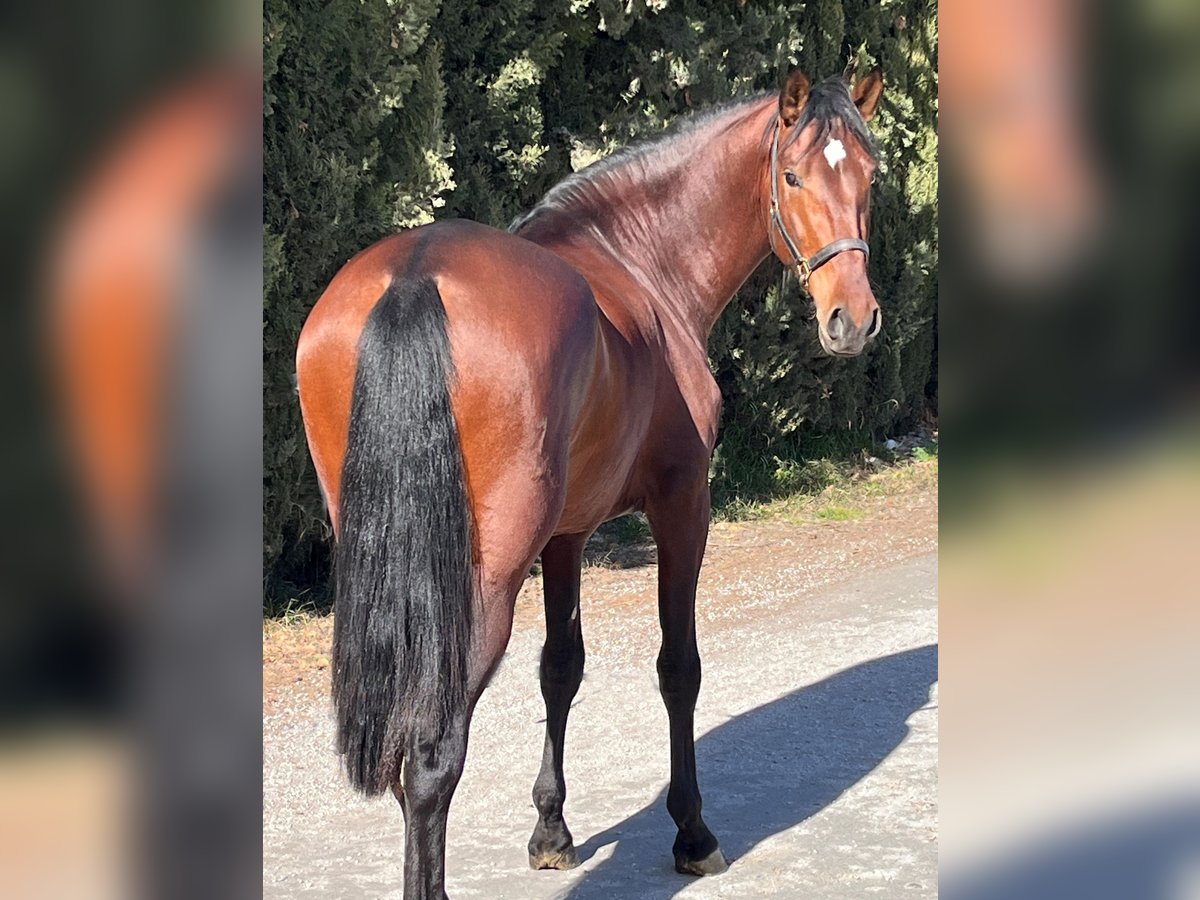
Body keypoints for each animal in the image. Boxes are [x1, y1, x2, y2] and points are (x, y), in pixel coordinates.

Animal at [296, 66, 888, 897]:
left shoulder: (567, 535)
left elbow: (560, 669)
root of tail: (414, 279)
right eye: (793, 175)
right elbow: (679, 667)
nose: (852, 319)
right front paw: (693, 833)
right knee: (432, 756)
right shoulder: (683, 503)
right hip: (483, 586)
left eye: (869, 175)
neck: (642, 262)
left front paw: (551, 830)